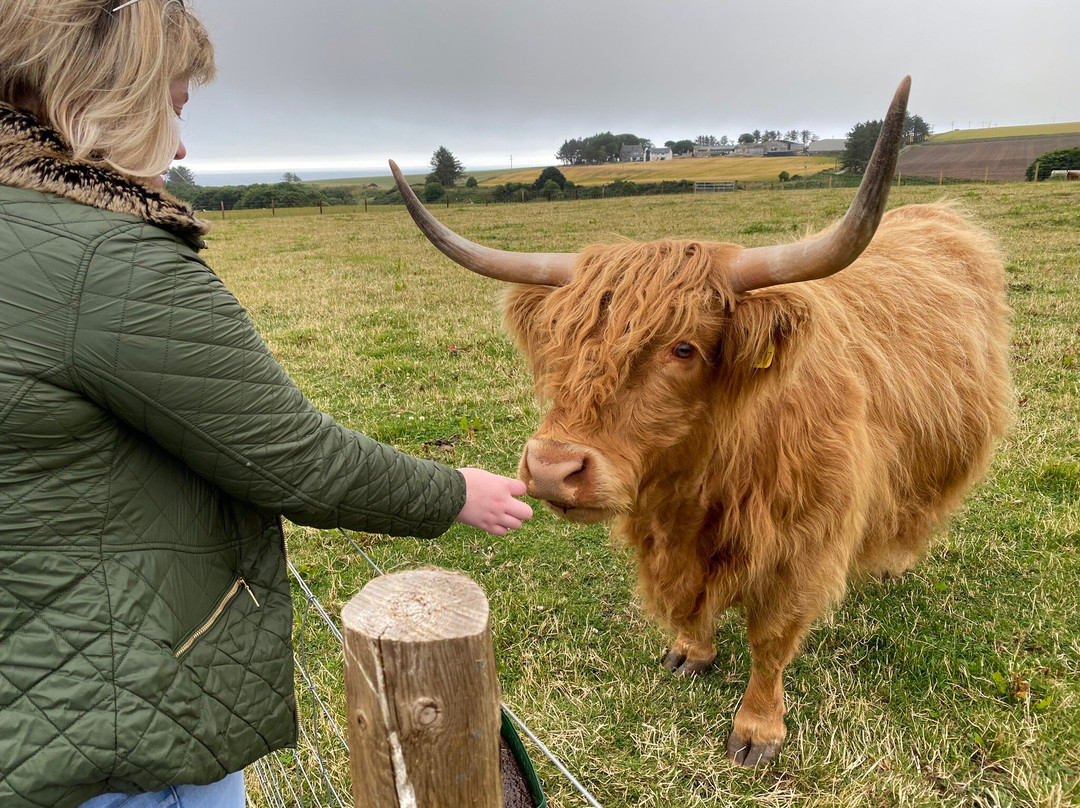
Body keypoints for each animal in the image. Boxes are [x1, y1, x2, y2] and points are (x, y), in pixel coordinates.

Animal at [390, 78, 1010, 769]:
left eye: (683, 348)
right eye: (558, 340)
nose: (551, 469)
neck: (705, 480)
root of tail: (939, 216)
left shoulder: (802, 545)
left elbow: (772, 638)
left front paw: (758, 729)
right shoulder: (667, 538)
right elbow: (689, 605)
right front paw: (692, 652)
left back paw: (895, 560)